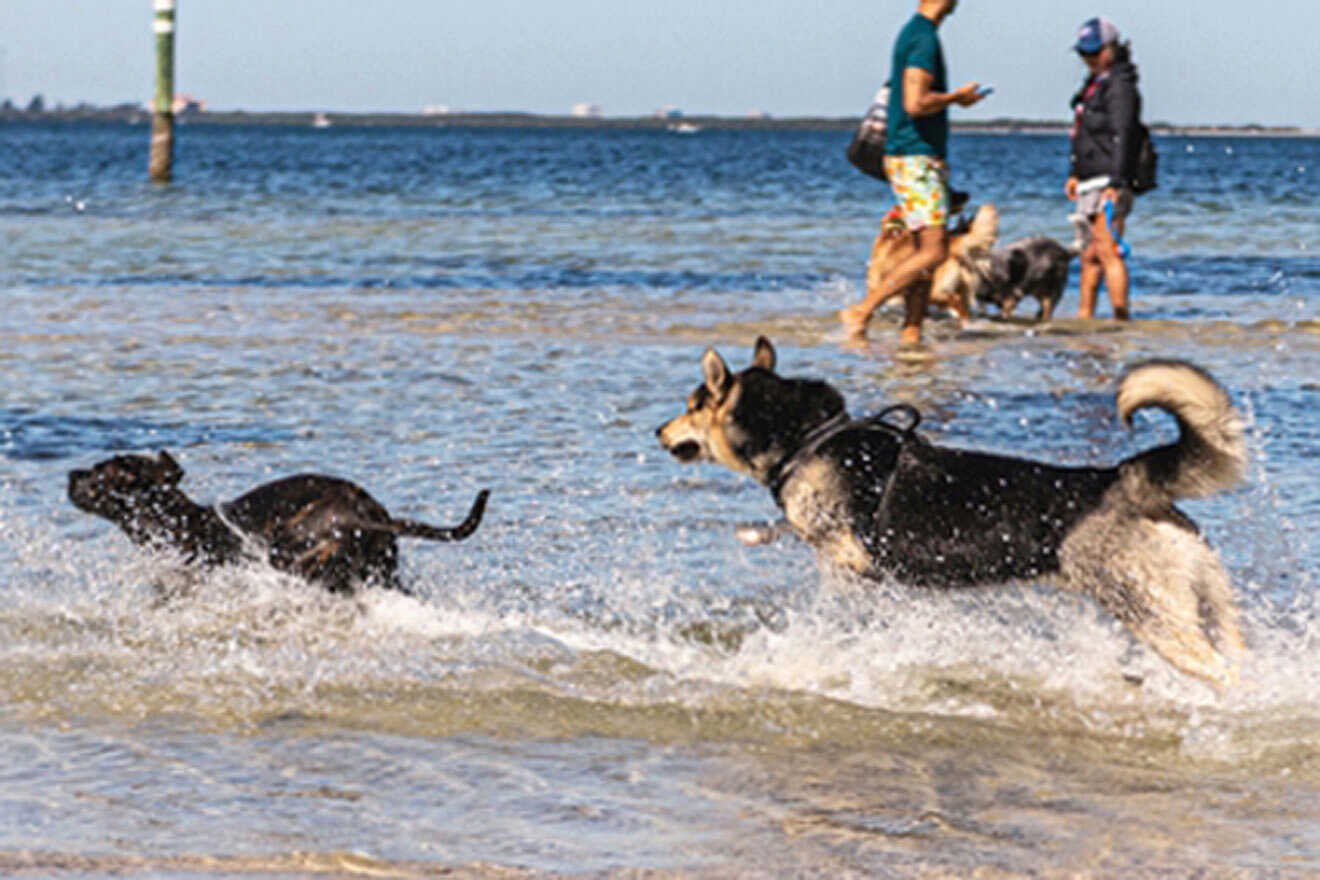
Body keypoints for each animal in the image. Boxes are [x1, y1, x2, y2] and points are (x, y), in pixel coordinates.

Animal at [69, 451, 491, 596]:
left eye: (99, 472)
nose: (71, 473)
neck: (179, 524)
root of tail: (363, 513)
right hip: (381, 570)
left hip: (293, 554)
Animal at [657, 337, 1246, 686]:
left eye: (691, 406)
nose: (660, 430)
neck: (807, 438)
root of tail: (1124, 479)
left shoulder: (847, 555)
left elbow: (799, 533)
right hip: (1211, 601)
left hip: (1153, 613)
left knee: (1219, 670)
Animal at [865, 201, 997, 320]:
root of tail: (953, 244)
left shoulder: (875, 285)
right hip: (960, 287)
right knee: (962, 307)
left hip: (934, 291)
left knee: (954, 301)